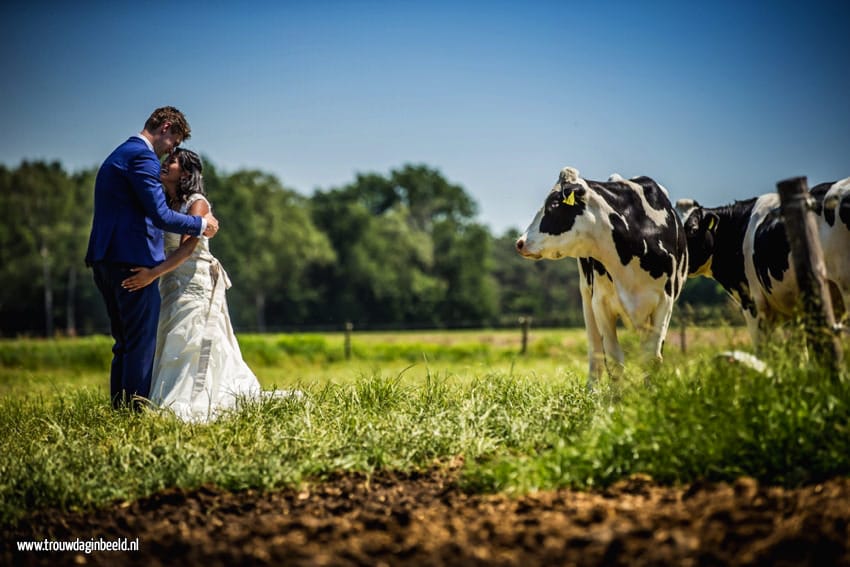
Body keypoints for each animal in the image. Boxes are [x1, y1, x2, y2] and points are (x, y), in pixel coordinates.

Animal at [512, 166, 684, 388]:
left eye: (554, 204)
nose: (520, 242)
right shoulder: (601, 303)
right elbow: (614, 360)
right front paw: (616, 396)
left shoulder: (665, 302)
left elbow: (652, 357)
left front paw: (651, 393)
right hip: (586, 296)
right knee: (595, 352)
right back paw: (592, 390)